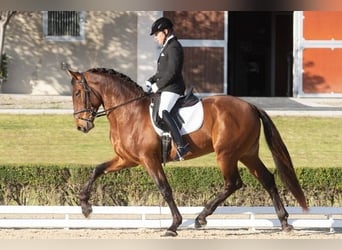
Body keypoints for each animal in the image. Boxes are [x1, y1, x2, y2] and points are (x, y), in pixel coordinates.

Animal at [68, 68, 308, 236]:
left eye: (78, 93)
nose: (81, 126)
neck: (129, 112)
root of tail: (250, 105)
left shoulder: (149, 159)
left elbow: (165, 189)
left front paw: (174, 225)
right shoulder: (126, 159)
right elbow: (97, 169)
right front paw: (85, 206)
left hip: (226, 154)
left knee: (233, 183)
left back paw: (201, 218)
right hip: (247, 153)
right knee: (267, 179)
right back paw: (284, 222)